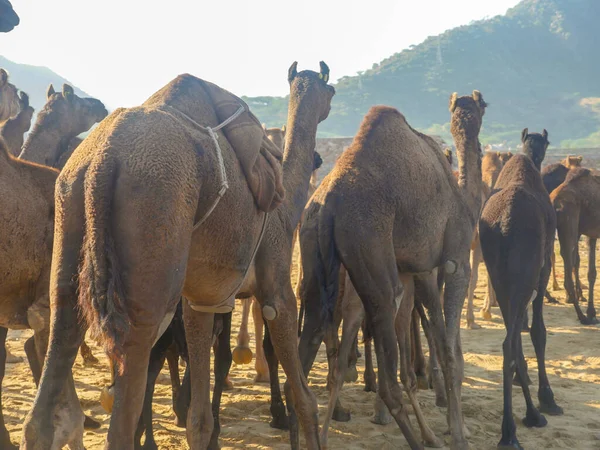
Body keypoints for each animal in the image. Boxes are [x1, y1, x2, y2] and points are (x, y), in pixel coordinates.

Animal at [22, 64, 332, 450]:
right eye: (331, 91)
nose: (320, 158)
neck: (288, 202)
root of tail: (104, 159)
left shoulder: (203, 298)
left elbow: (200, 415)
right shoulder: (275, 277)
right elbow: (304, 395)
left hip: (69, 208)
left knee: (61, 332)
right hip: (153, 226)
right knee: (133, 365)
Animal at [296, 91, 488, 450]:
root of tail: (328, 202)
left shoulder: (413, 269)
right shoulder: (453, 260)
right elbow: (449, 350)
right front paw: (459, 433)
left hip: (312, 245)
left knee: (306, 346)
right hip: (369, 243)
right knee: (388, 374)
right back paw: (420, 437)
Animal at [478, 127, 564, 450]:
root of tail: (504, 224)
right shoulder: (543, 266)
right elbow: (538, 331)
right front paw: (547, 398)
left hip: (500, 275)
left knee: (510, 341)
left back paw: (521, 420)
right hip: (524, 275)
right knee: (510, 342)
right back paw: (515, 428)